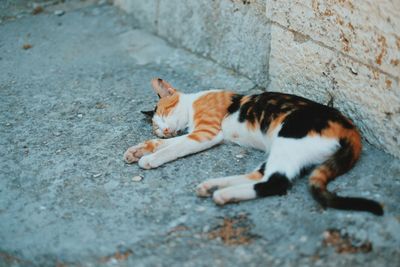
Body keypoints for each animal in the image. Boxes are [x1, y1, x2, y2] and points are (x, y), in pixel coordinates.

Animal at [124, 78, 384, 217]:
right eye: (156, 128)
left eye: (163, 115)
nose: (164, 129)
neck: (192, 105)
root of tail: (350, 128)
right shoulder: (195, 133)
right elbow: (168, 144)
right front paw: (139, 149)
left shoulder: (206, 134)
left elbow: (173, 148)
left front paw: (151, 158)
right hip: (283, 148)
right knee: (261, 175)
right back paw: (213, 186)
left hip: (289, 138)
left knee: (276, 182)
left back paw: (222, 194)